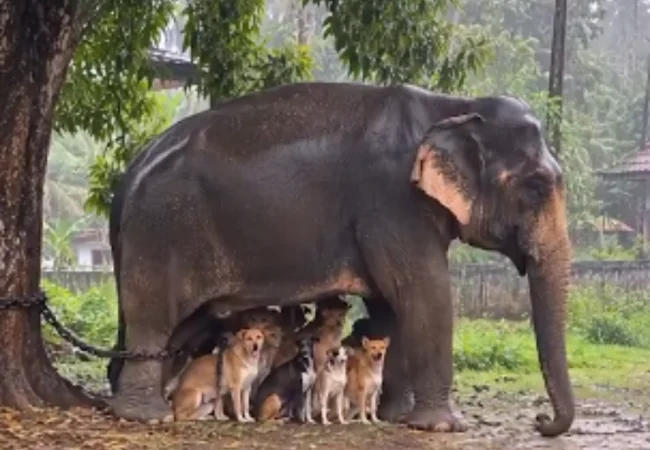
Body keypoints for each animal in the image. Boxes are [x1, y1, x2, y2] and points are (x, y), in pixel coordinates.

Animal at [106, 81, 574, 436]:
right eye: (535, 187)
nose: (541, 420)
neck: (453, 105)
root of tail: (132, 170)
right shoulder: (393, 203)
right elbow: (426, 294)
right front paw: (443, 426)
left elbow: (389, 305)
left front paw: (394, 415)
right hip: (160, 232)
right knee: (153, 318)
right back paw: (146, 415)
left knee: (175, 326)